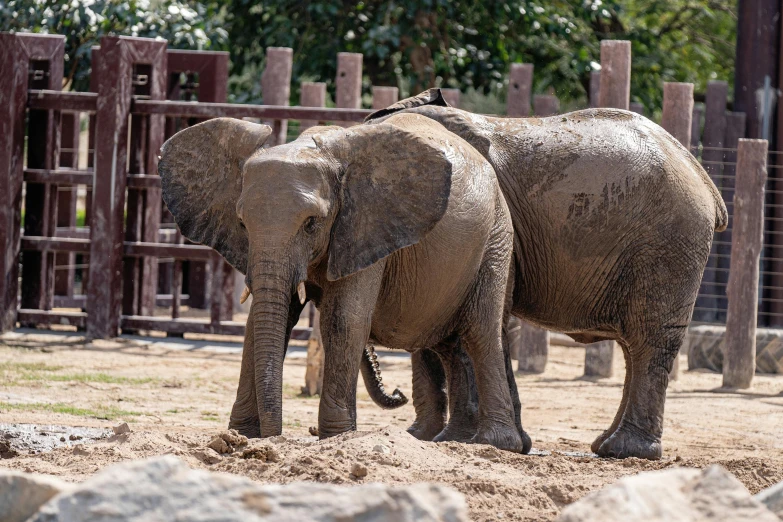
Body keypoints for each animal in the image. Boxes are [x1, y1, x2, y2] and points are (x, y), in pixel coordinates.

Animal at [161, 112, 532, 450]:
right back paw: (452, 441)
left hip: (497, 236)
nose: (274, 438)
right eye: (241, 223)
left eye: (312, 223)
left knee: (480, 332)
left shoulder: (365, 224)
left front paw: (336, 437)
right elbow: (260, 322)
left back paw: (495, 444)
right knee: (448, 342)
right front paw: (241, 435)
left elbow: (344, 320)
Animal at [364, 90, 732, 460]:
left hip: (669, 244)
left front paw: (452, 440)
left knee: (650, 339)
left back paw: (626, 450)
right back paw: (606, 445)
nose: (397, 394)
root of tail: (704, 179)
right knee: (635, 345)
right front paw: (437, 438)